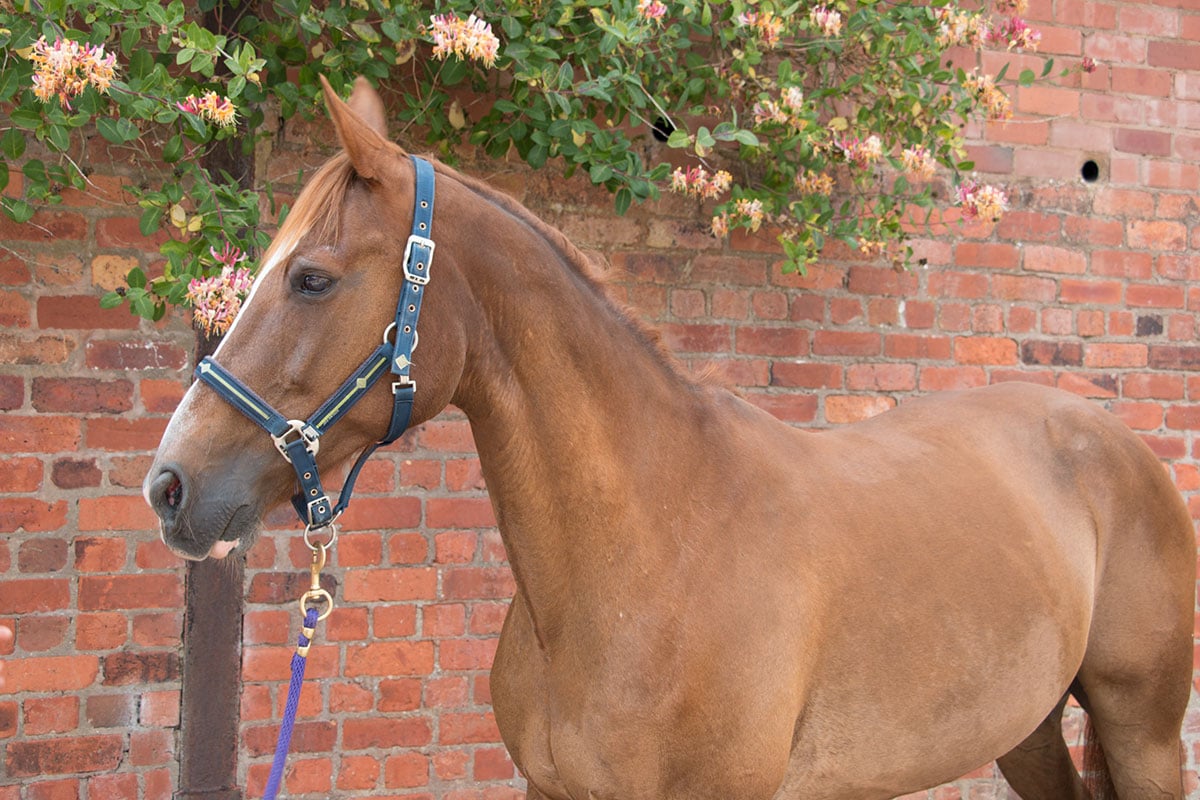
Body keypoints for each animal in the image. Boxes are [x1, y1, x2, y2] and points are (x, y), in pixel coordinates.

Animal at [144, 76, 1195, 800]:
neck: (649, 549)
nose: (170, 485)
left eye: (311, 278)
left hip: (1142, 728)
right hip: (1025, 727)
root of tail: (1116, 447)